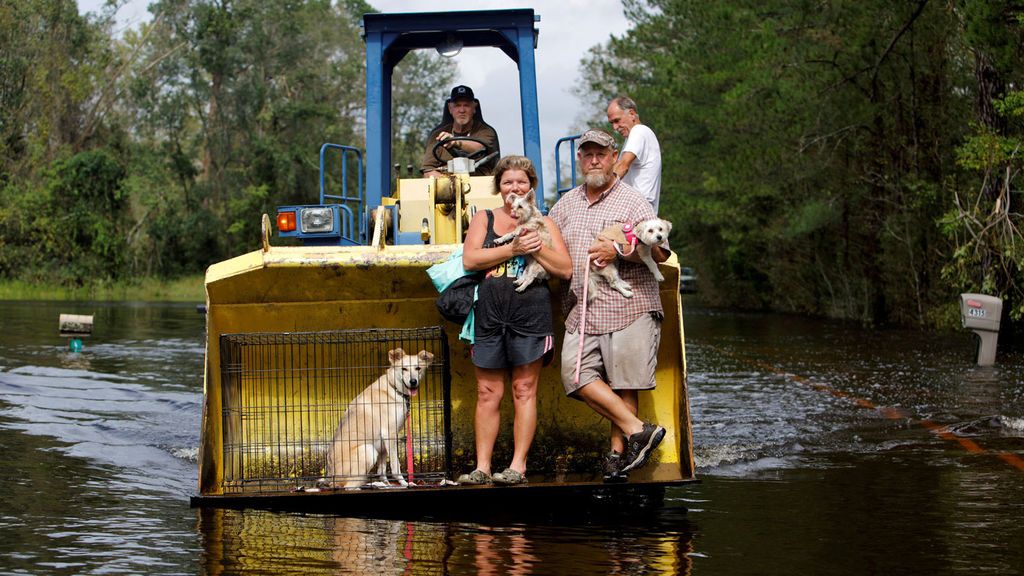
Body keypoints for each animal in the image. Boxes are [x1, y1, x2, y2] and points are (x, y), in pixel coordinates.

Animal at [325, 348, 434, 485]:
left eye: (418, 368)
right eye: (404, 369)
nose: (413, 382)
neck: (394, 389)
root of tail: (331, 477)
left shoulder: (383, 444)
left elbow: (381, 470)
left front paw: (386, 484)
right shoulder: (390, 434)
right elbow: (395, 465)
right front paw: (404, 483)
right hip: (368, 450)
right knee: (349, 485)